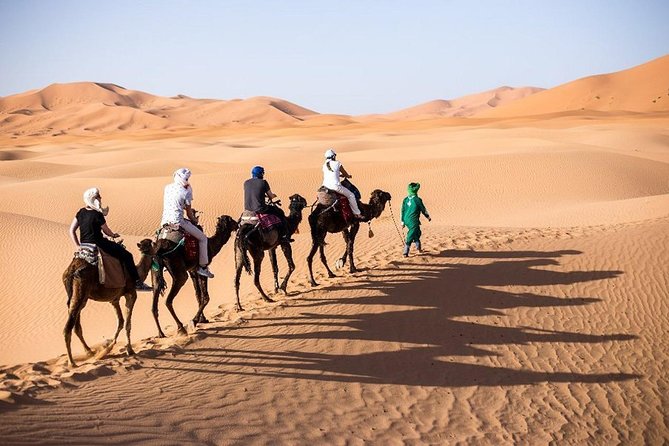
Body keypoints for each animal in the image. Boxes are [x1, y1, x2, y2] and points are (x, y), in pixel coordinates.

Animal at [61, 239, 153, 368]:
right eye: (153, 244)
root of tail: (71, 270)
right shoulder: (131, 293)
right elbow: (127, 323)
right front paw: (129, 350)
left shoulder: (114, 299)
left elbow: (121, 321)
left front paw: (109, 346)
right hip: (81, 290)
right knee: (68, 327)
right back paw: (72, 362)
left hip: (78, 296)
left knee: (76, 324)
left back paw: (89, 351)